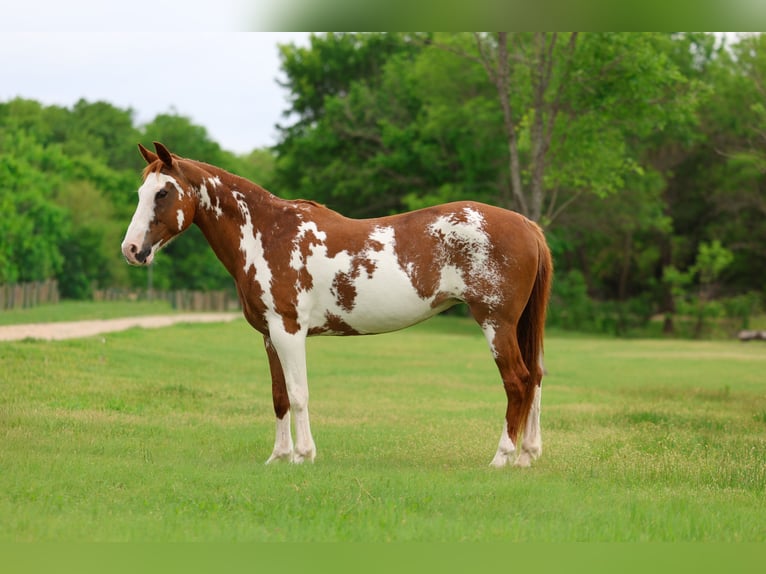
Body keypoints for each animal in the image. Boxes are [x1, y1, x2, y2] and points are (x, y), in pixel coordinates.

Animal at [121, 142, 552, 468]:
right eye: (141, 193)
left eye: (163, 193)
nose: (131, 249)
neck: (267, 234)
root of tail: (526, 225)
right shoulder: (269, 334)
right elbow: (279, 395)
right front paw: (278, 457)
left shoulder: (289, 330)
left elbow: (299, 394)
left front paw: (303, 456)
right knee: (535, 376)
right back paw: (527, 456)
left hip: (496, 323)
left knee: (517, 381)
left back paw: (502, 457)